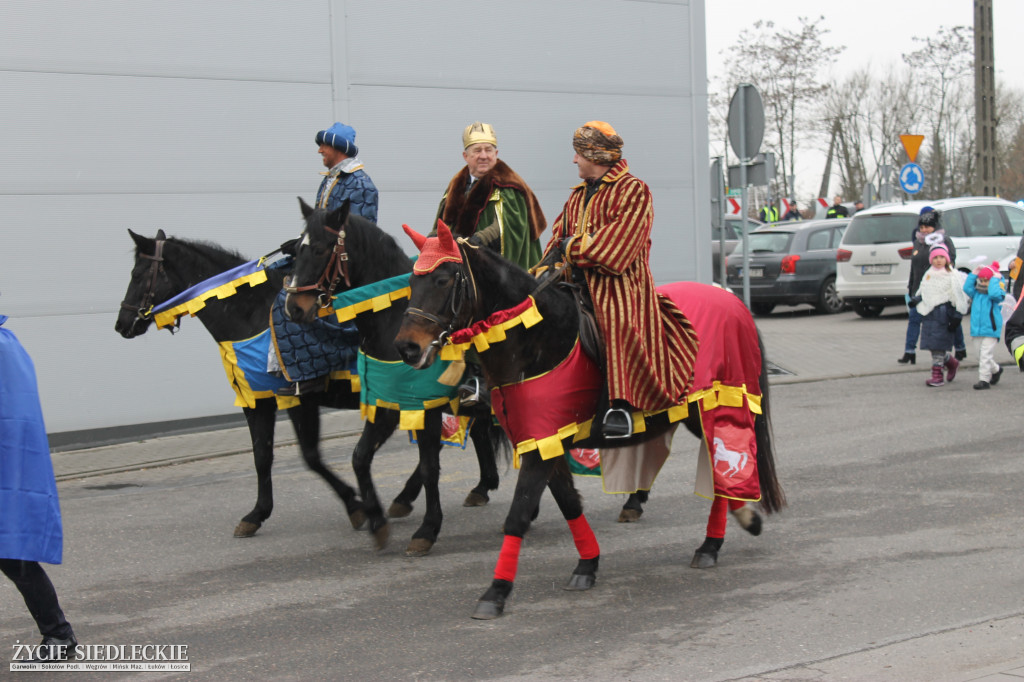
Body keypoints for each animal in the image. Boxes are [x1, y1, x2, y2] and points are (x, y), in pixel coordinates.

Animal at [115, 225, 503, 548]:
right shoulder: (260, 401)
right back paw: (466, 489)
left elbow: (314, 457)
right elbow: (264, 456)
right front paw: (257, 514)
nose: (122, 324)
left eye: (137, 274)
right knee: (474, 430)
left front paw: (357, 508)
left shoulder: (300, 400)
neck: (249, 313)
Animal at [280, 199, 512, 557]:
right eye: (296, 251)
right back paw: (475, 487)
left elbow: (430, 466)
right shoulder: (384, 402)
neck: (388, 323)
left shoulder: (421, 404)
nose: (294, 308)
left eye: (319, 249)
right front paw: (376, 521)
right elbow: (360, 457)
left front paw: (427, 530)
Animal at [391, 223, 782, 614]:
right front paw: (587, 565)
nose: (407, 348)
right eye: (411, 281)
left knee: (722, 462)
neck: (536, 339)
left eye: (443, 280)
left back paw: (716, 540)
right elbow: (568, 503)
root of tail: (734, 303)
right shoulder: (543, 441)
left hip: (715, 405)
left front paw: (496, 592)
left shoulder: (541, 443)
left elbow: (517, 515)